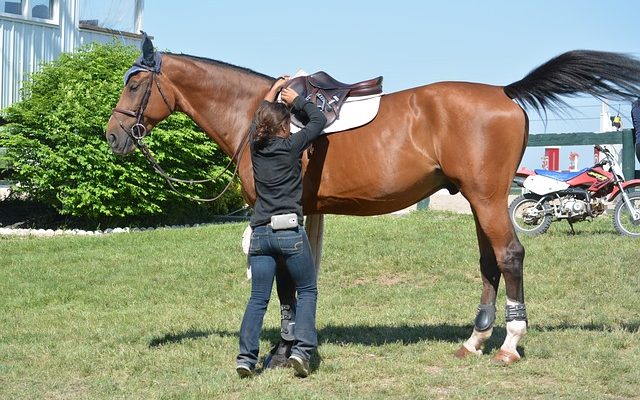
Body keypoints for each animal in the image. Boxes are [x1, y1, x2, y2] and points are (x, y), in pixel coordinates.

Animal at [106, 35, 640, 366]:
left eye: (133, 83)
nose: (113, 136)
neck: (259, 113)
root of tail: (505, 93)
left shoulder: (278, 213)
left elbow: (284, 282)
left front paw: (284, 352)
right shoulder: (307, 213)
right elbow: (300, 279)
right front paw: (295, 346)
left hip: (488, 199)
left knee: (509, 256)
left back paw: (509, 344)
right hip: (477, 199)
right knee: (490, 261)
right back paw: (474, 341)